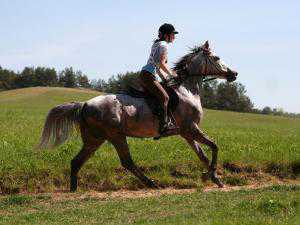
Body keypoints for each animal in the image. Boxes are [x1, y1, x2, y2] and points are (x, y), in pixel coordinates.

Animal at [38, 40, 238, 192]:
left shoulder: (187, 133)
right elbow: (214, 146)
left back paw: (73, 189)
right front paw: (211, 175)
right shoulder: (191, 128)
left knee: (76, 161)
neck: (186, 90)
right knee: (127, 162)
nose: (233, 74)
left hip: (94, 139)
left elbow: (202, 155)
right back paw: (152, 183)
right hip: (115, 136)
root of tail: (85, 104)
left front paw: (215, 178)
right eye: (216, 58)